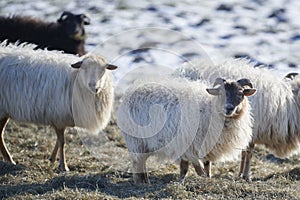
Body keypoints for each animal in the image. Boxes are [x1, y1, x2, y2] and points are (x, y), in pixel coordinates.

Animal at [0, 42, 117, 170]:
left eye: (103, 70)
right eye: (84, 68)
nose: (94, 87)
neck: (75, 79)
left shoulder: (60, 118)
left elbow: (58, 140)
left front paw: (52, 159)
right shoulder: (59, 116)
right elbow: (62, 142)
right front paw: (63, 166)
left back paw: (8, 159)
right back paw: (10, 159)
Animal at [117, 77, 255, 184]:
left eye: (240, 93)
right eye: (221, 93)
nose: (229, 108)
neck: (210, 109)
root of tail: (128, 93)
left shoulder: (205, 145)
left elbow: (206, 166)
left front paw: (205, 178)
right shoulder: (187, 145)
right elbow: (189, 168)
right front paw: (185, 181)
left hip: (144, 144)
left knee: (142, 163)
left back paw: (147, 182)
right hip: (136, 141)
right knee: (137, 163)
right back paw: (140, 183)